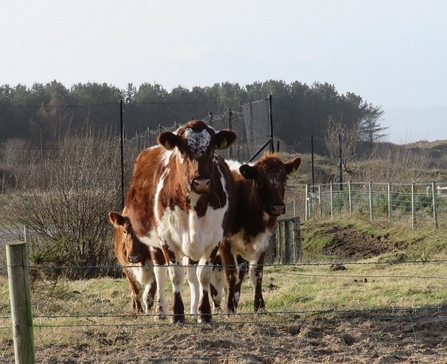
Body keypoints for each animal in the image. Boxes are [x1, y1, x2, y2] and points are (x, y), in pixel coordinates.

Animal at [125, 121, 238, 322]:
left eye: (212, 149)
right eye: (182, 150)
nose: (201, 182)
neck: (194, 205)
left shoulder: (215, 238)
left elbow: (203, 275)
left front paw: (204, 313)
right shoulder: (166, 238)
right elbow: (175, 274)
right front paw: (177, 314)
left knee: (192, 274)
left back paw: (193, 310)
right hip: (154, 244)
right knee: (160, 273)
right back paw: (161, 311)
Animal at [216, 152, 300, 314]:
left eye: (285, 179)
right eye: (260, 180)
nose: (277, 207)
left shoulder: (263, 241)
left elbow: (257, 273)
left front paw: (259, 305)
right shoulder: (225, 242)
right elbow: (230, 273)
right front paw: (229, 307)